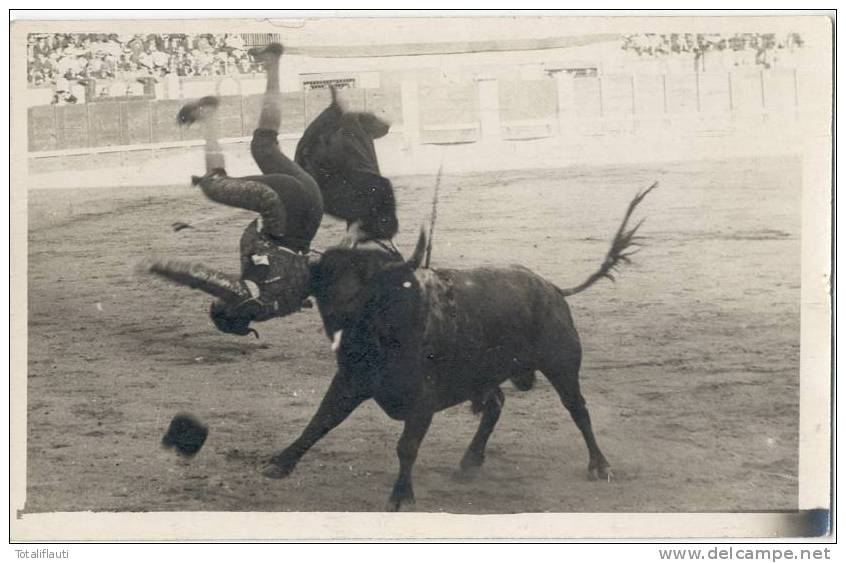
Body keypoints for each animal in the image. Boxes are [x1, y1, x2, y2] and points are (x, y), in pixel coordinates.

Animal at [144, 184, 656, 512]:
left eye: (265, 267)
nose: (220, 313)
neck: (379, 317)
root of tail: (551, 287)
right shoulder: (351, 379)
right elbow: (320, 422)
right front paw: (279, 464)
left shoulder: (423, 396)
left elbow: (405, 445)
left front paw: (400, 496)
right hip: (487, 372)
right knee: (495, 403)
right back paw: (470, 462)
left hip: (562, 364)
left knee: (578, 410)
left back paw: (599, 466)